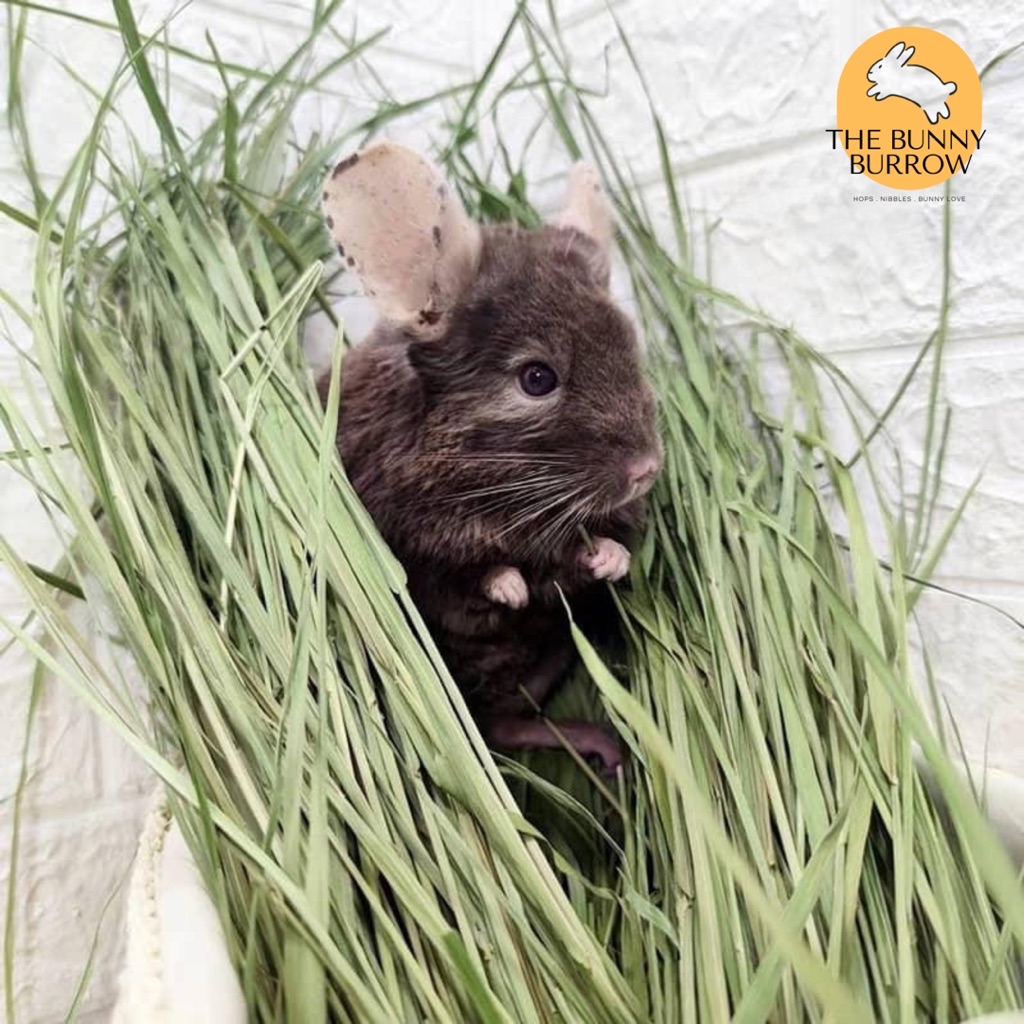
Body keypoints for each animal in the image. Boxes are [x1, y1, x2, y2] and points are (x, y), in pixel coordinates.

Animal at [317, 142, 662, 773]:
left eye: (630, 344)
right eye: (537, 378)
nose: (645, 471)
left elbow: (606, 552)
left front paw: (606, 558)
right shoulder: (407, 546)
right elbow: (464, 579)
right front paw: (510, 586)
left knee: (502, 725)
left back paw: (600, 744)